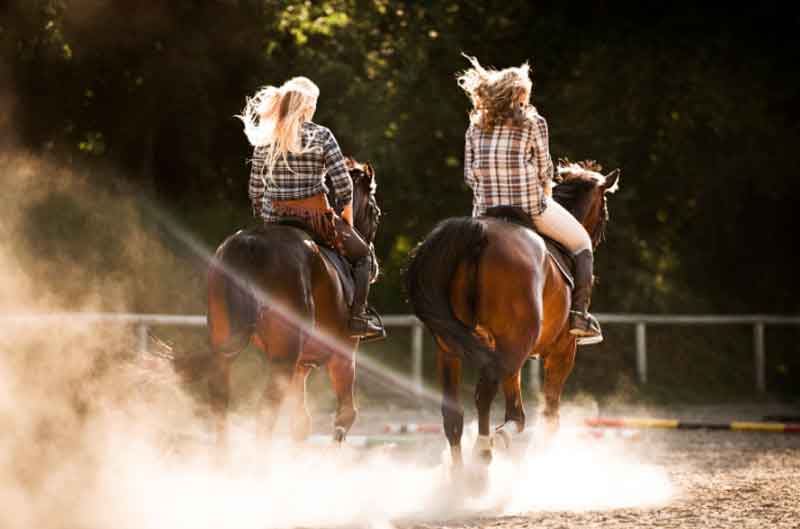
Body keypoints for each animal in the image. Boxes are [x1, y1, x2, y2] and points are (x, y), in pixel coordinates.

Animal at [206, 158, 382, 446]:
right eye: (375, 213)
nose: (375, 265)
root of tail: (250, 243)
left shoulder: (302, 366)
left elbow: (301, 424)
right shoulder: (343, 357)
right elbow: (345, 416)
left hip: (227, 348)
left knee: (221, 402)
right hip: (284, 358)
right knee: (266, 412)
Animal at [406, 160, 620, 466]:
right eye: (604, 208)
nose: (599, 235)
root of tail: (479, 233)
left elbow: (518, 412)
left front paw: (505, 436)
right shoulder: (562, 352)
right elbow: (549, 417)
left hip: (451, 348)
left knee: (453, 414)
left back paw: (461, 472)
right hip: (515, 344)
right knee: (487, 396)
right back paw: (483, 454)